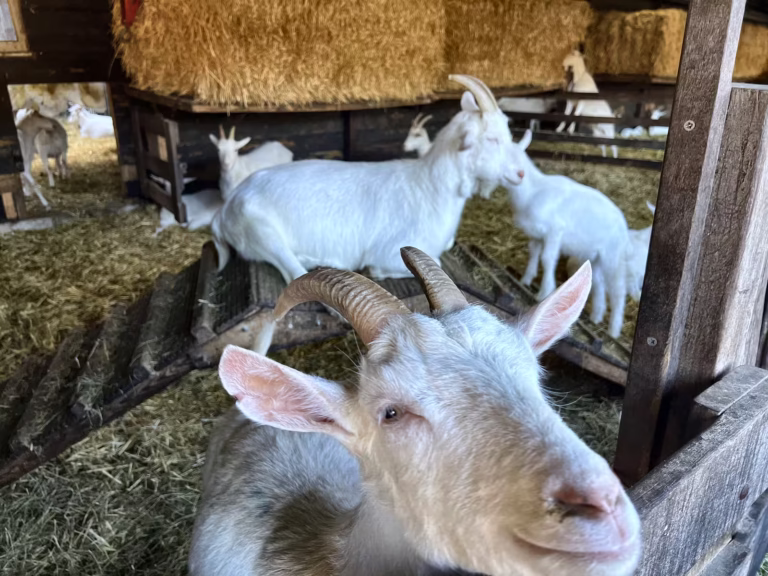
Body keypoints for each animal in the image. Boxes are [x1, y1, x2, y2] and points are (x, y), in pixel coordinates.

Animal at [213, 75, 527, 284]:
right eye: (492, 139)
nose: (521, 173)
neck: (430, 187)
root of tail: (225, 210)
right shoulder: (392, 249)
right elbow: (431, 261)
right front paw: (376, 271)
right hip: (262, 231)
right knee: (293, 274)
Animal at [505, 130, 630, 338]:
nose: (519, 175)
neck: (532, 192)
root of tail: (623, 222)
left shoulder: (555, 231)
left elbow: (547, 259)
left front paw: (544, 291)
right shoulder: (536, 234)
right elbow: (533, 254)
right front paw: (526, 279)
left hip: (613, 256)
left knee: (618, 290)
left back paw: (613, 329)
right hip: (596, 258)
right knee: (598, 284)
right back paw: (596, 316)